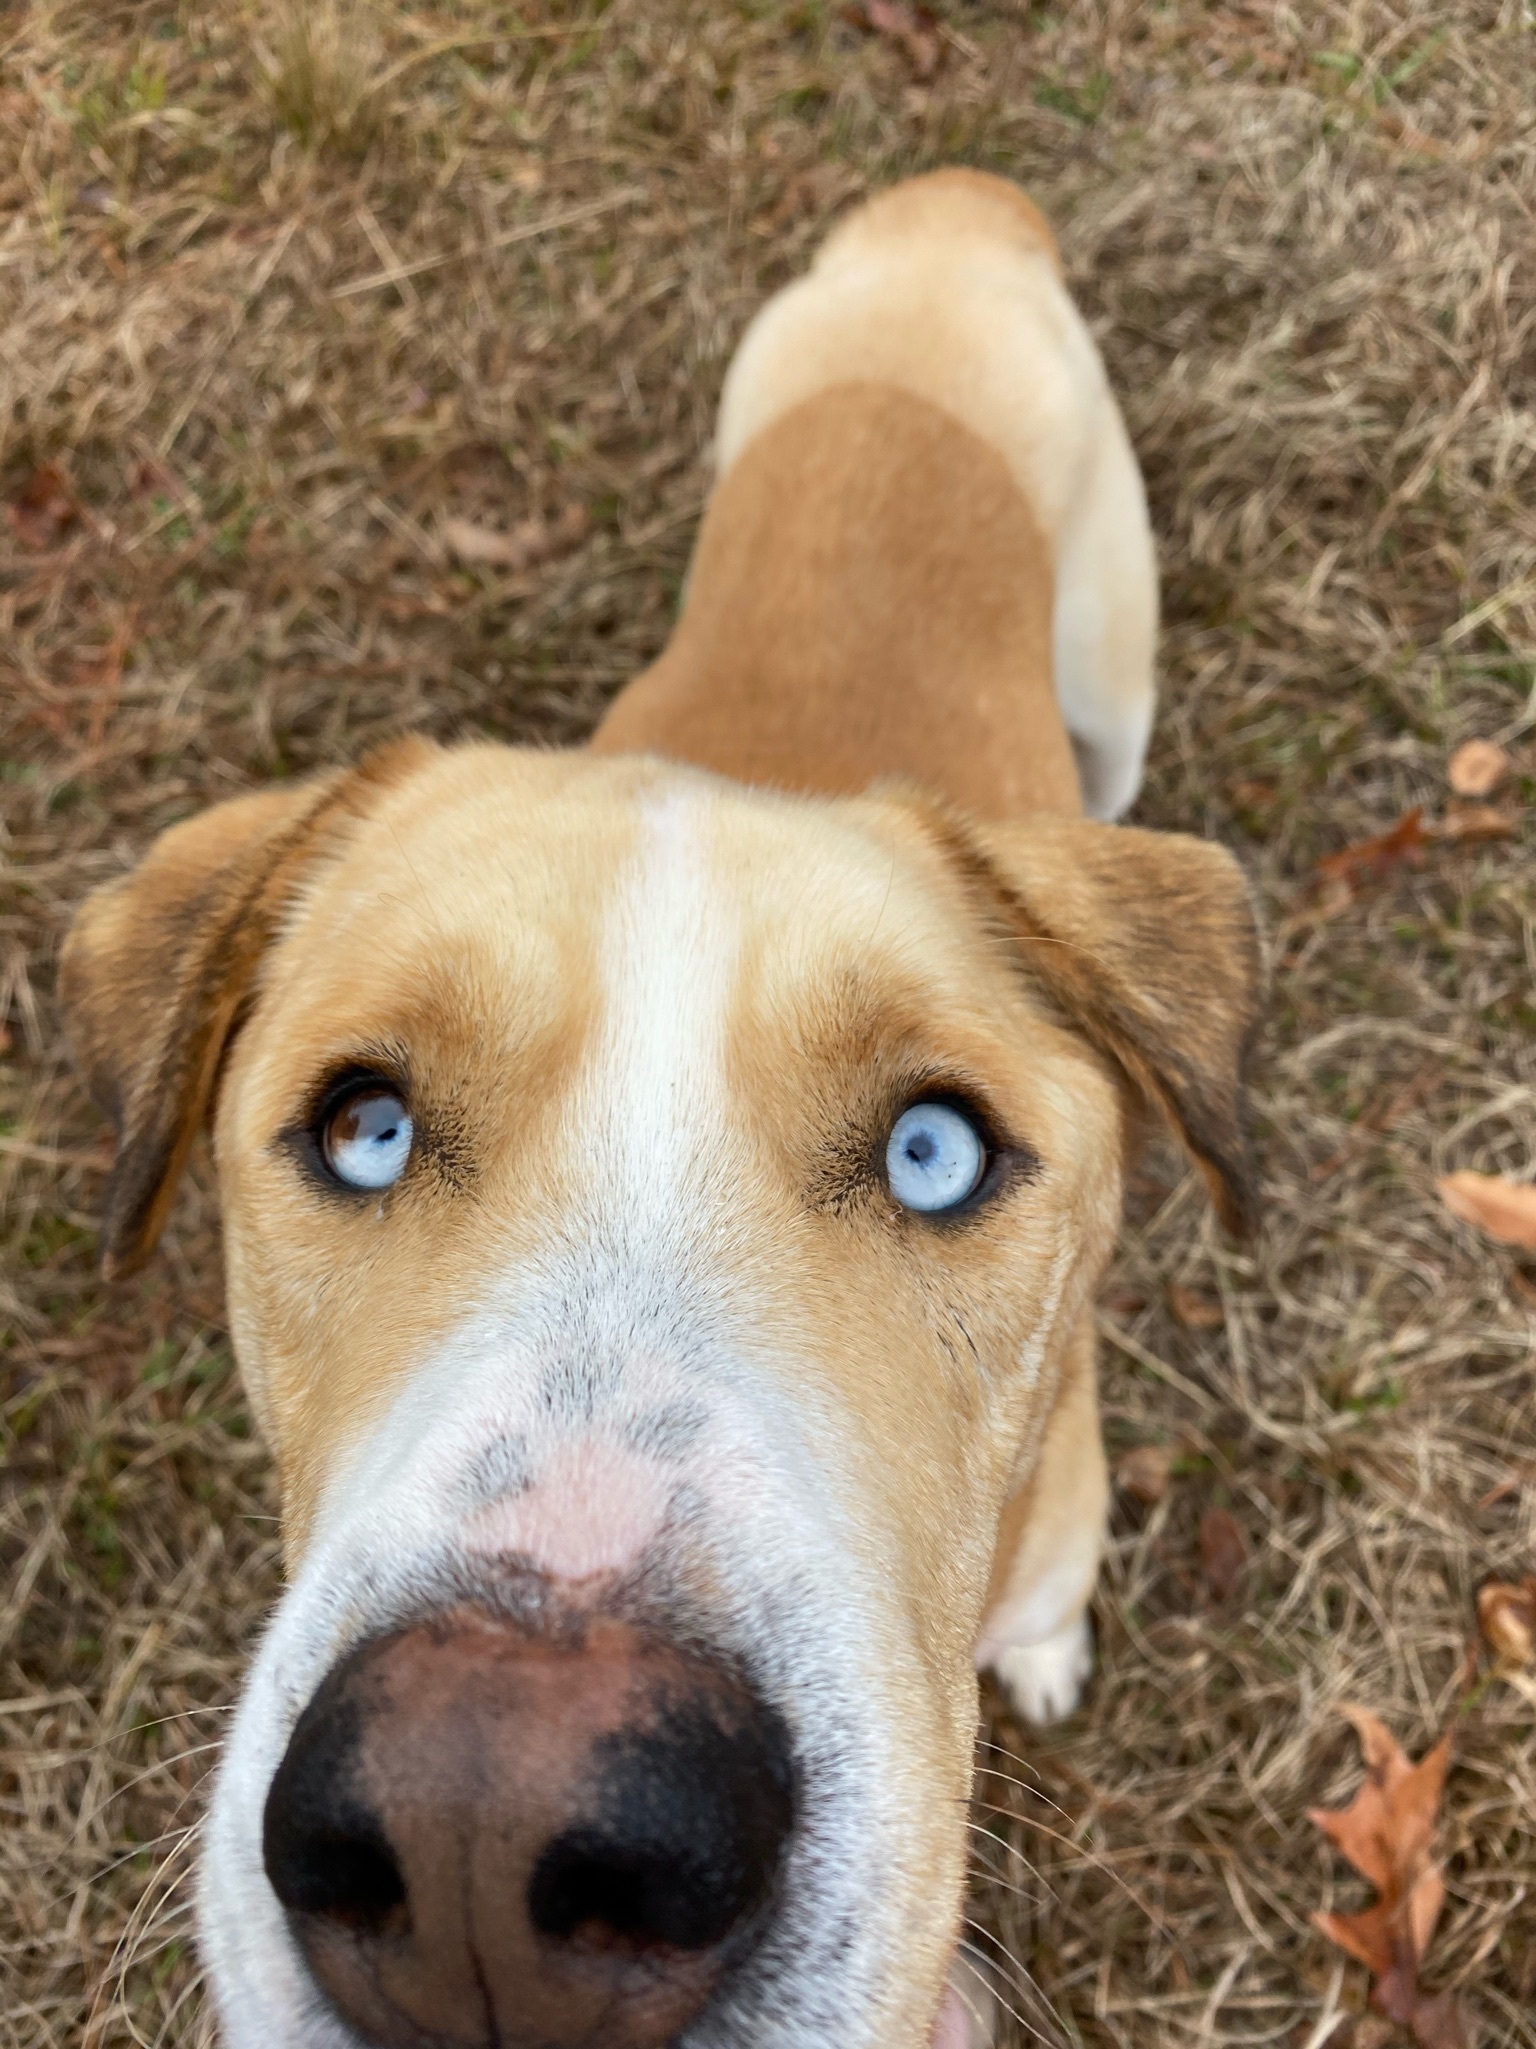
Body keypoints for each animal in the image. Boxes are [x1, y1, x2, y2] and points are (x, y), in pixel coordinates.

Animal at [63, 172, 1261, 2049]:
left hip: (1114, 683)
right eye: (363, 1124)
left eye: (934, 1152)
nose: (479, 1836)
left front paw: (1048, 1654)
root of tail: (953, 207)